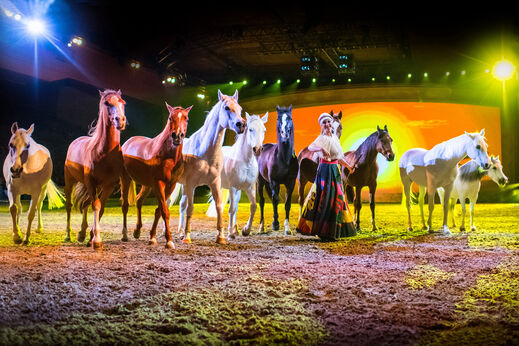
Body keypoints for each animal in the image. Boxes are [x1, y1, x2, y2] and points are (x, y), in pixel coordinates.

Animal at [64, 88, 127, 247]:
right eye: (106, 103)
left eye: (122, 102)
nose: (120, 120)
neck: (104, 153)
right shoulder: (90, 182)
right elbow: (96, 206)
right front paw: (96, 239)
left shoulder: (109, 185)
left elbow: (101, 207)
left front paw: (91, 235)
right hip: (70, 181)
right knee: (69, 206)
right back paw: (68, 235)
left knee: (86, 203)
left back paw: (82, 234)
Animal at [121, 102, 192, 249]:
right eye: (170, 118)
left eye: (186, 119)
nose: (177, 136)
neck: (167, 156)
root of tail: (128, 142)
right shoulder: (159, 183)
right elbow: (164, 211)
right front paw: (169, 241)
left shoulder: (170, 185)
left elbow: (159, 210)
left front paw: (152, 238)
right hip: (125, 179)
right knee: (125, 205)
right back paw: (125, 235)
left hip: (147, 184)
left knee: (139, 200)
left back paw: (137, 231)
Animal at [169, 90, 246, 245]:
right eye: (226, 108)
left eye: (240, 109)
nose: (241, 125)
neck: (206, 152)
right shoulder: (192, 184)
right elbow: (191, 208)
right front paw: (187, 237)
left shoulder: (215, 182)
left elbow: (219, 206)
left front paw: (221, 237)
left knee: (181, 204)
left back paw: (179, 232)